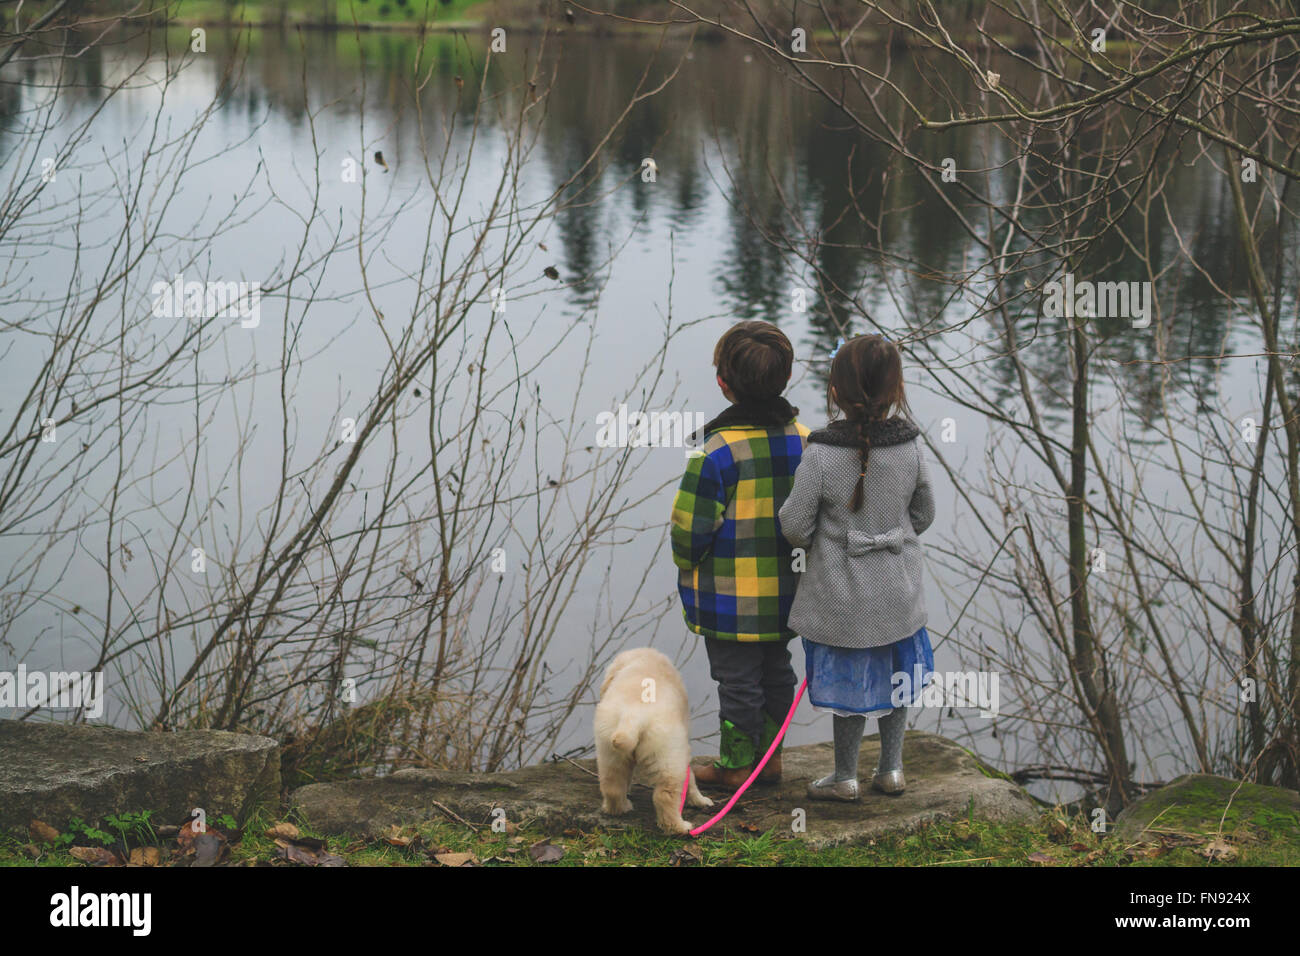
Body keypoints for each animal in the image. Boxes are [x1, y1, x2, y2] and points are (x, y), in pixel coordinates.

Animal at [595, 647, 717, 832]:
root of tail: (634, 714)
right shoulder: (682, 748)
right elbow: (690, 779)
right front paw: (700, 800)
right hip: (668, 756)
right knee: (665, 795)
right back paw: (680, 827)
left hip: (609, 749)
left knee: (612, 785)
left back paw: (620, 808)